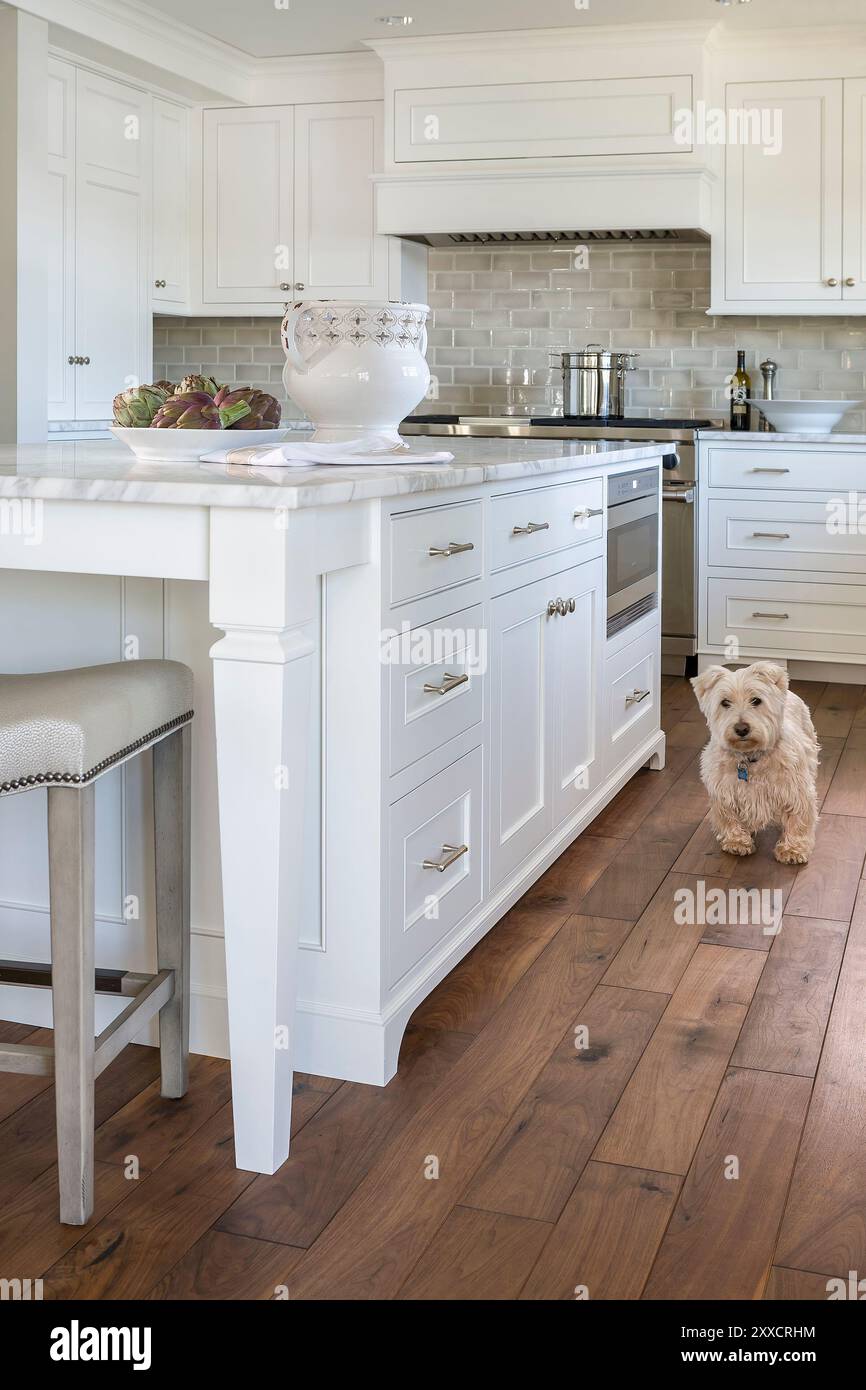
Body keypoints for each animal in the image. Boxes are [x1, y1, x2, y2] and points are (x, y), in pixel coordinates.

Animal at [692, 658, 817, 861]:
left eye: (756, 700)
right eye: (725, 702)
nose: (741, 729)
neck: (749, 757)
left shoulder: (796, 790)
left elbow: (798, 819)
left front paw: (793, 850)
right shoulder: (723, 791)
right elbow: (729, 817)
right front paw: (737, 843)